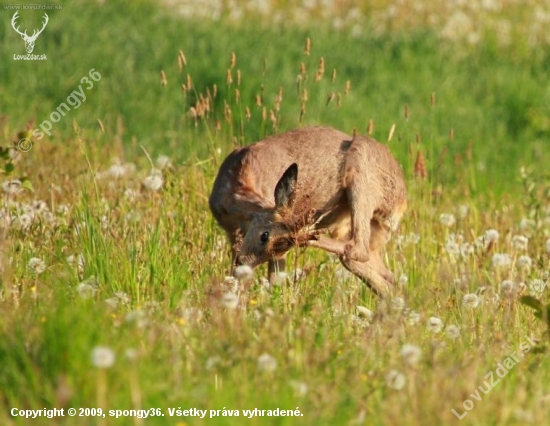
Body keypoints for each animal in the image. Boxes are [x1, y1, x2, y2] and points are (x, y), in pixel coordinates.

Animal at [209, 125, 408, 294]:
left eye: (264, 236)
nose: (243, 262)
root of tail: (403, 200)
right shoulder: (232, 234)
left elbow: (275, 282)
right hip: (356, 228)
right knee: (383, 272)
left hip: (361, 170)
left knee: (358, 249)